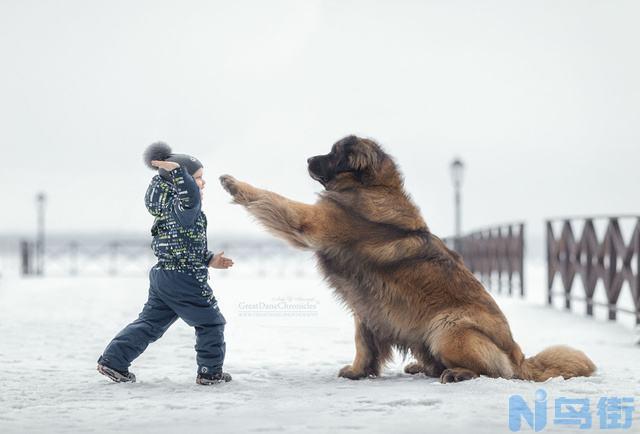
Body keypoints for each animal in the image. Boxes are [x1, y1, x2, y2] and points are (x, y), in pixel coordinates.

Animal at [219, 136, 596, 384]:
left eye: (334, 153)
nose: (309, 159)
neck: (371, 188)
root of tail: (521, 358)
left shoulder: (313, 222)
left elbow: (274, 199)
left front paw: (233, 184)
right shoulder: (365, 310)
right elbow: (363, 342)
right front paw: (358, 371)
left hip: (447, 326)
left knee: (490, 372)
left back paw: (455, 373)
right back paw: (423, 366)